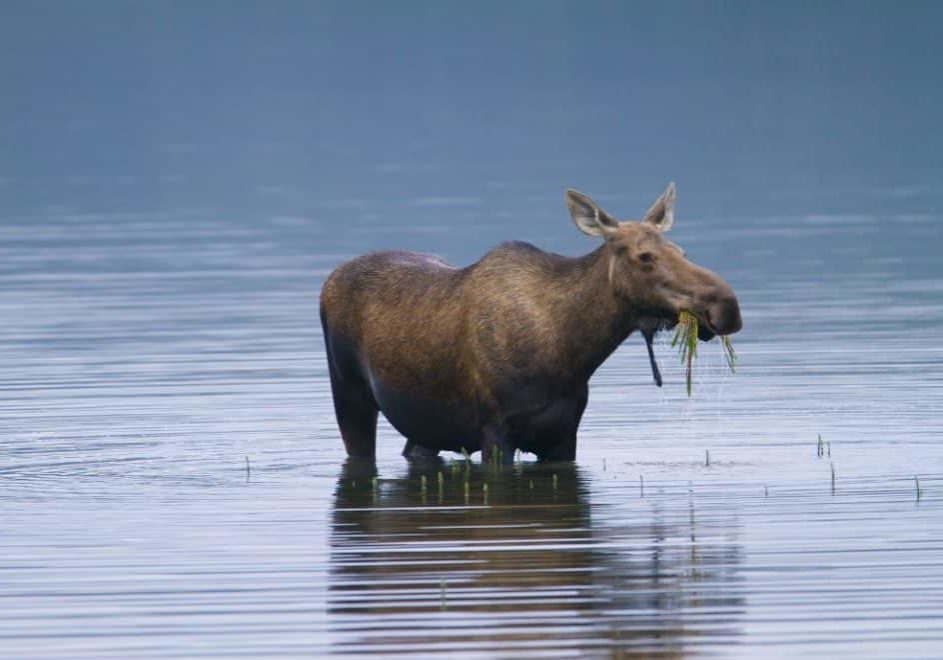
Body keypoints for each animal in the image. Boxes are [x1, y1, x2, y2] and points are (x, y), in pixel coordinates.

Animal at [320, 184, 740, 464]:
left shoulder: (564, 435)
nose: (726, 306)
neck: (572, 352)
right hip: (349, 394)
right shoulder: (496, 432)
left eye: (681, 250)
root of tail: (330, 279)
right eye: (645, 257)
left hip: (424, 422)